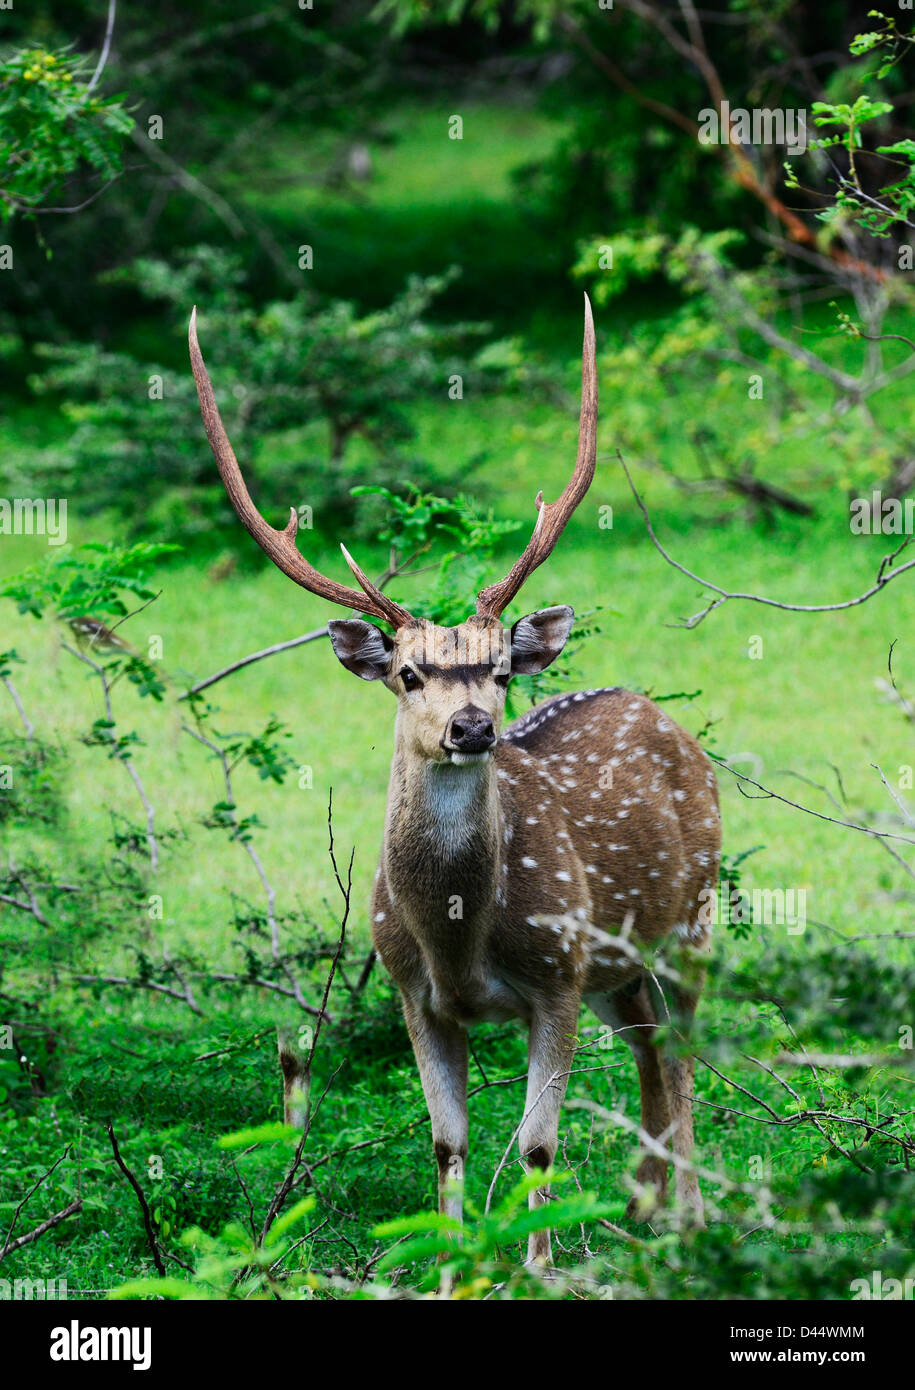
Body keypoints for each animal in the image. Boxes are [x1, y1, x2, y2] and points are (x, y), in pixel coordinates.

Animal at [189, 298, 717, 1267]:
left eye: (501, 668)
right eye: (408, 673)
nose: (473, 727)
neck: (459, 934)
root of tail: (657, 714)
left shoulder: (556, 972)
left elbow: (538, 1144)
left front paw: (537, 1269)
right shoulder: (414, 994)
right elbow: (447, 1143)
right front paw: (447, 1266)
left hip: (692, 917)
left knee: (684, 1054)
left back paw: (690, 1218)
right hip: (619, 963)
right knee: (649, 1049)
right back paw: (642, 1211)